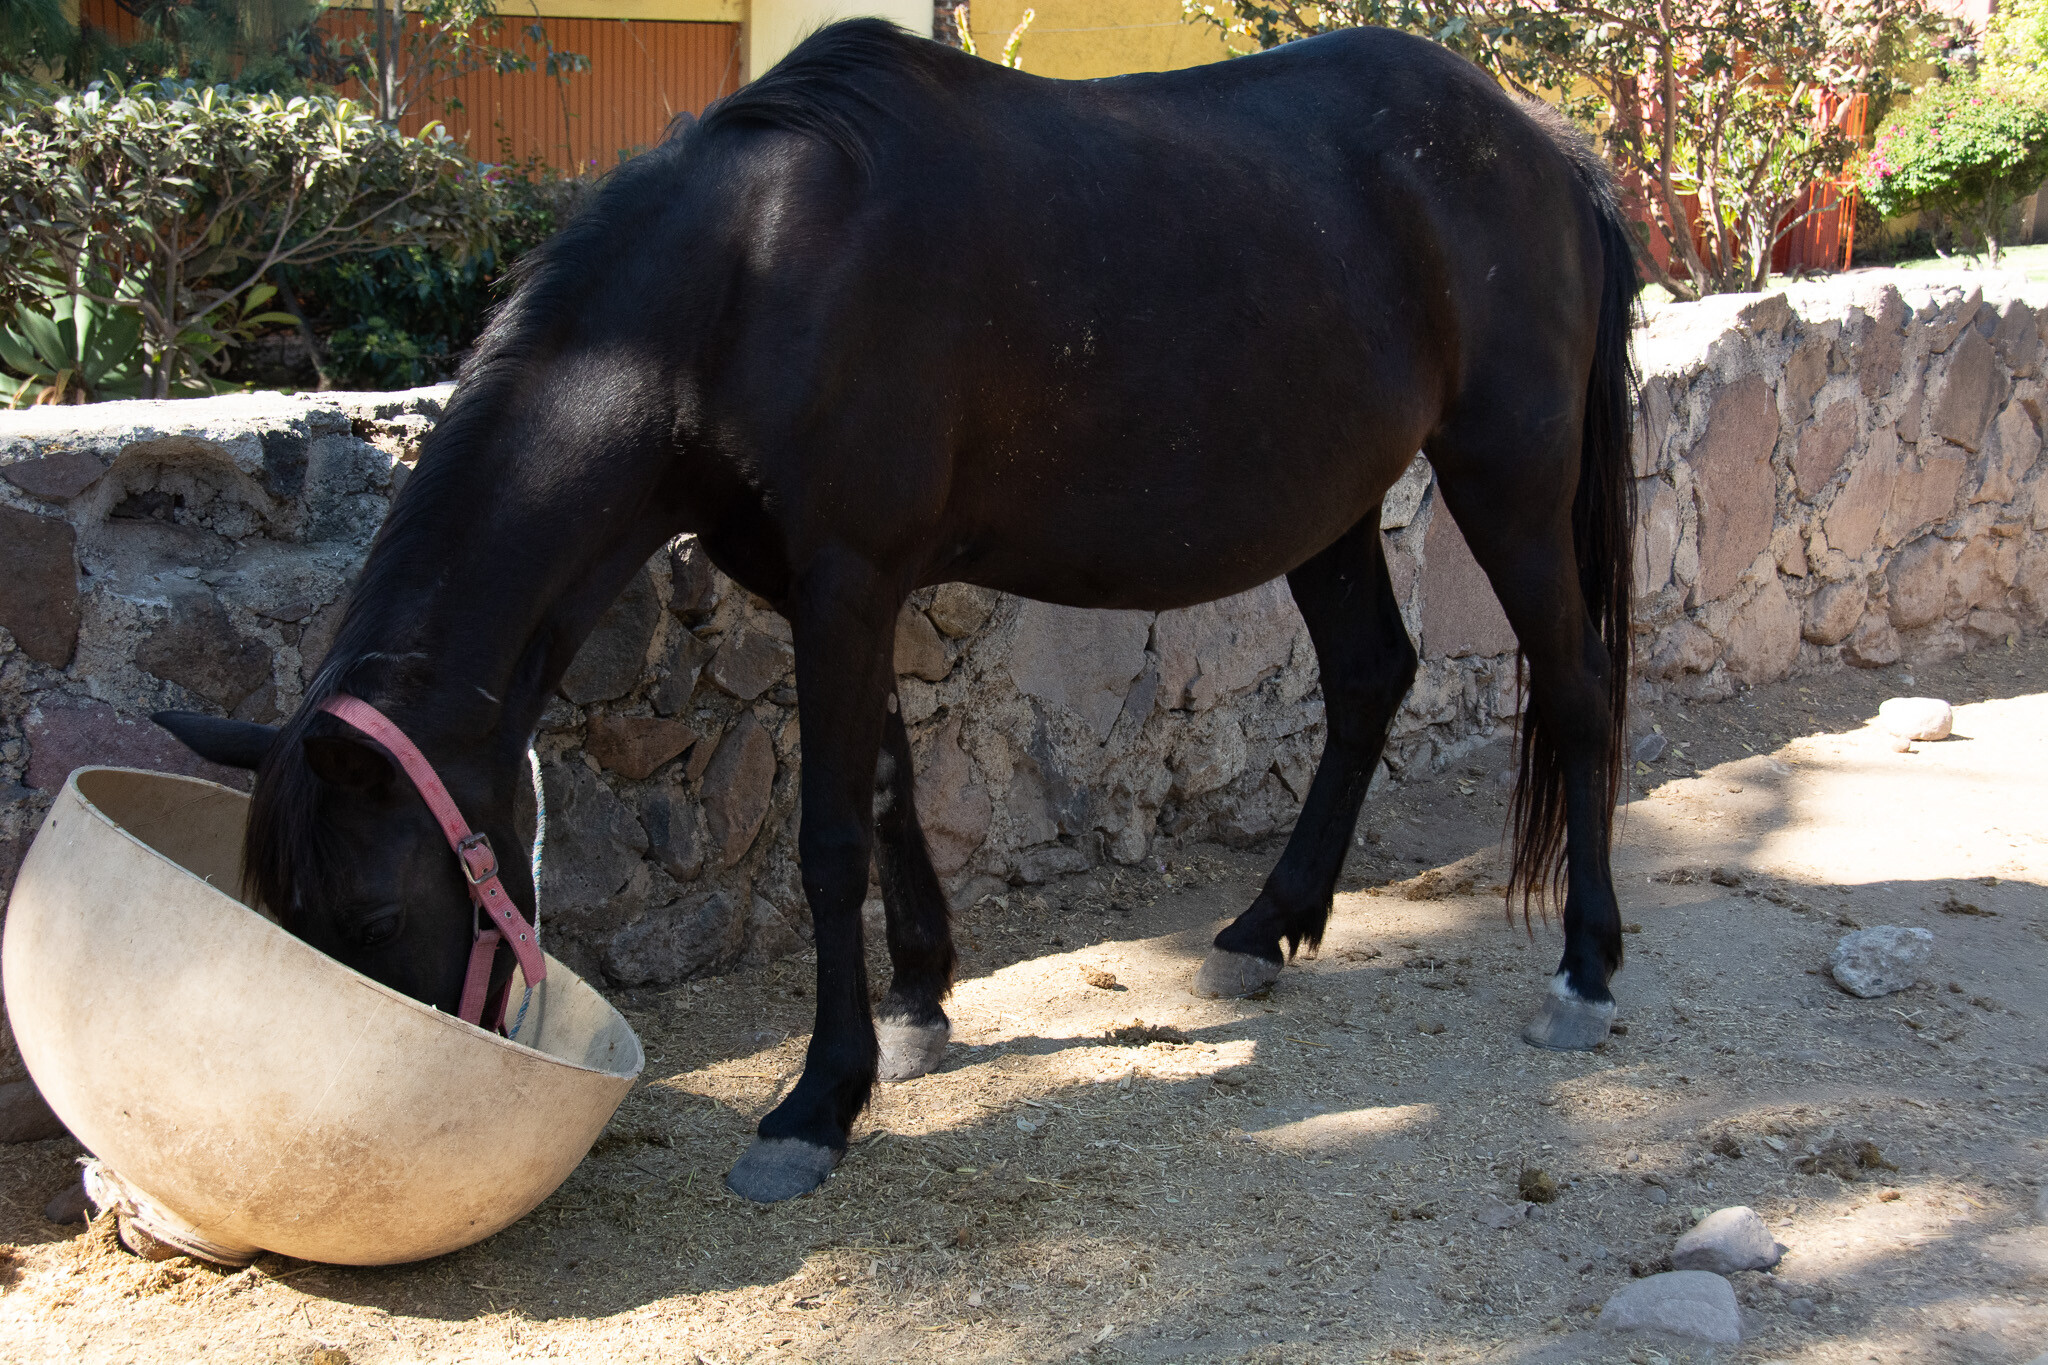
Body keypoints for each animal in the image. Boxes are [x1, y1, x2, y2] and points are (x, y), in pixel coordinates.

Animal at [156, 17, 1638, 1203]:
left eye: (370, 921)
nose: (395, 1124)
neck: (753, 273)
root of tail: (1539, 144)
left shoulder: (848, 579)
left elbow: (824, 840)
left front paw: (817, 1103)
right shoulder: (814, 587)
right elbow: (882, 784)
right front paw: (923, 1002)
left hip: (1506, 474)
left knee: (1572, 687)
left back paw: (1584, 972)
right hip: (1327, 501)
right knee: (1371, 674)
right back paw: (1262, 927)